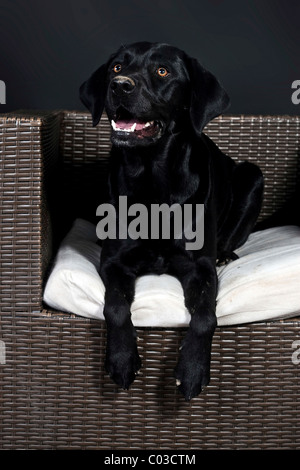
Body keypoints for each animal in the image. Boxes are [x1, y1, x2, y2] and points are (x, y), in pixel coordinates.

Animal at [79, 41, 262, 400]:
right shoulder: (114, 262)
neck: (153, 176)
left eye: (162, 71)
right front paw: (122, 359)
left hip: (252, 174)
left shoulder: (199, 268)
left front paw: (192, 370)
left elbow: (206, 317)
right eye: (116, 68)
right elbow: (115, 306)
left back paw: (226, 253)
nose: (119, 86)